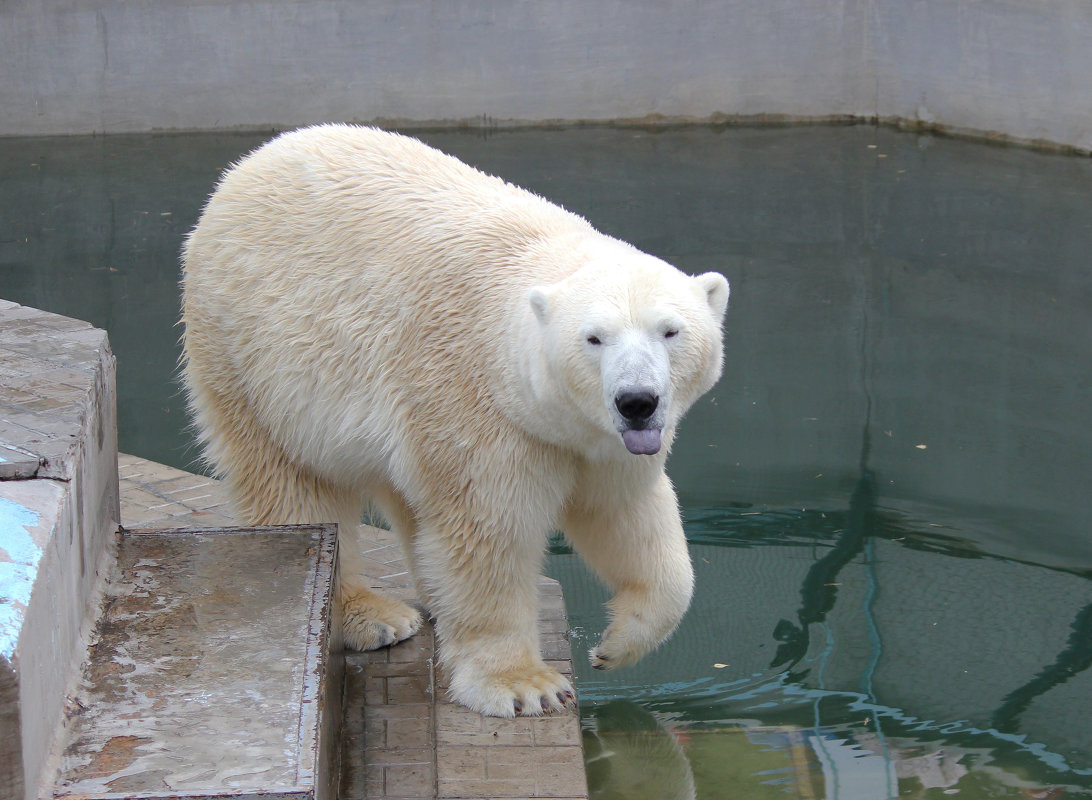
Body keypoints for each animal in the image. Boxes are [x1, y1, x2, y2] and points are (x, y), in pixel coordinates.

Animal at [181, 126, 733, 715]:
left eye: (670, 330)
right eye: (594, 338)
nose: (637, 401)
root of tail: (244, 168)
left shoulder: (599, 444)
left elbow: (625, 515)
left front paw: (616, 644)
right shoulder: (476, 404)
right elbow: (488, 532)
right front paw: (523, 685)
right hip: (252, 358)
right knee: (294, 483)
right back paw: (372, 616)